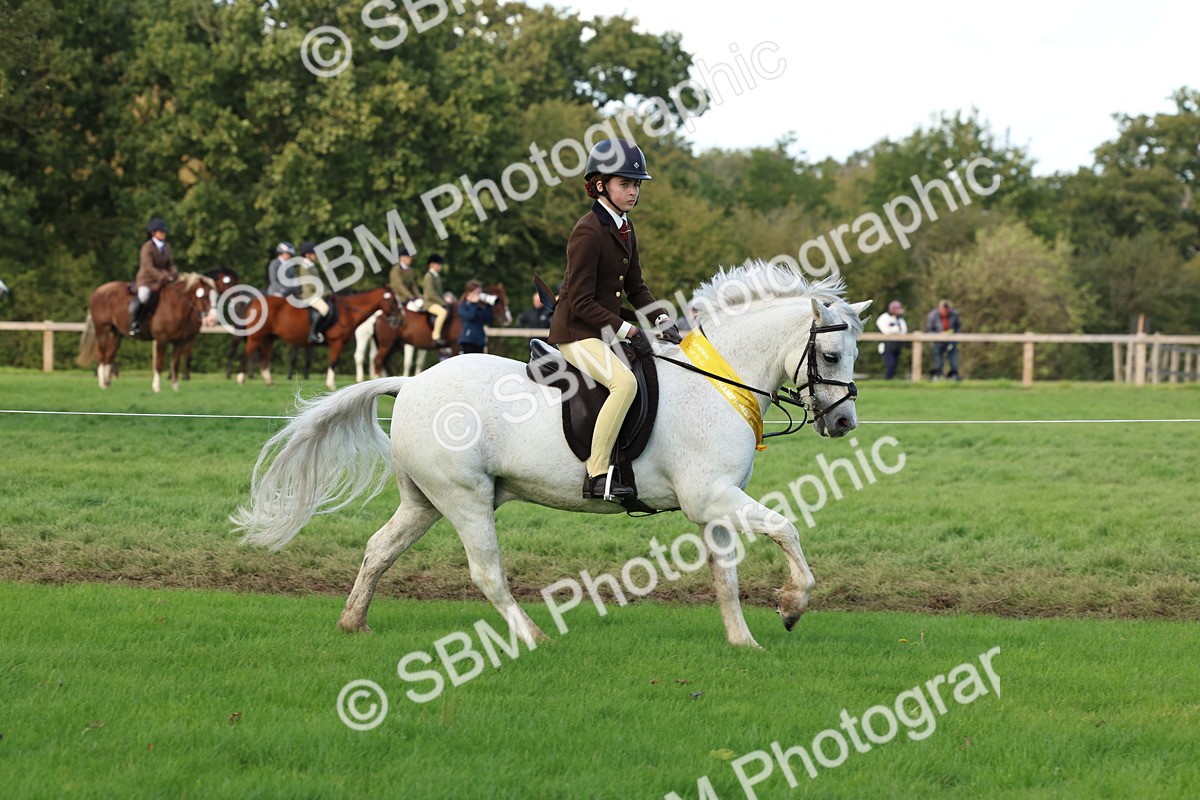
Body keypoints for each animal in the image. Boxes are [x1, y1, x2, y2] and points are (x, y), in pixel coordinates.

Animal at [78, 272, 218, 392]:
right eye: (204, 295)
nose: (213, 319)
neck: (175, 306)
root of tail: (98, 291)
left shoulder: (179, 342)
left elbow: (175, 364)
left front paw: (175, 388)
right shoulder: (162, 340)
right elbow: (159, 364)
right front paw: (157, 387)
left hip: (116, 334)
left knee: (108, 357)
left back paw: (107, 384)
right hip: (103, 330)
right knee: (101, 356)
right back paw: (102, 383)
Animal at [237, 286, 400, 390]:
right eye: (392, 300)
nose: (398, 320)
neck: (346, 311)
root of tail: (256, 300)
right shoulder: (337, 343)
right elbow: (333, 362)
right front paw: (331, 385)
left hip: (268, 338)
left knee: (264, 358)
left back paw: (269, 382)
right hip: (256, 337)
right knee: (246, 354)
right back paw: (241, 379)